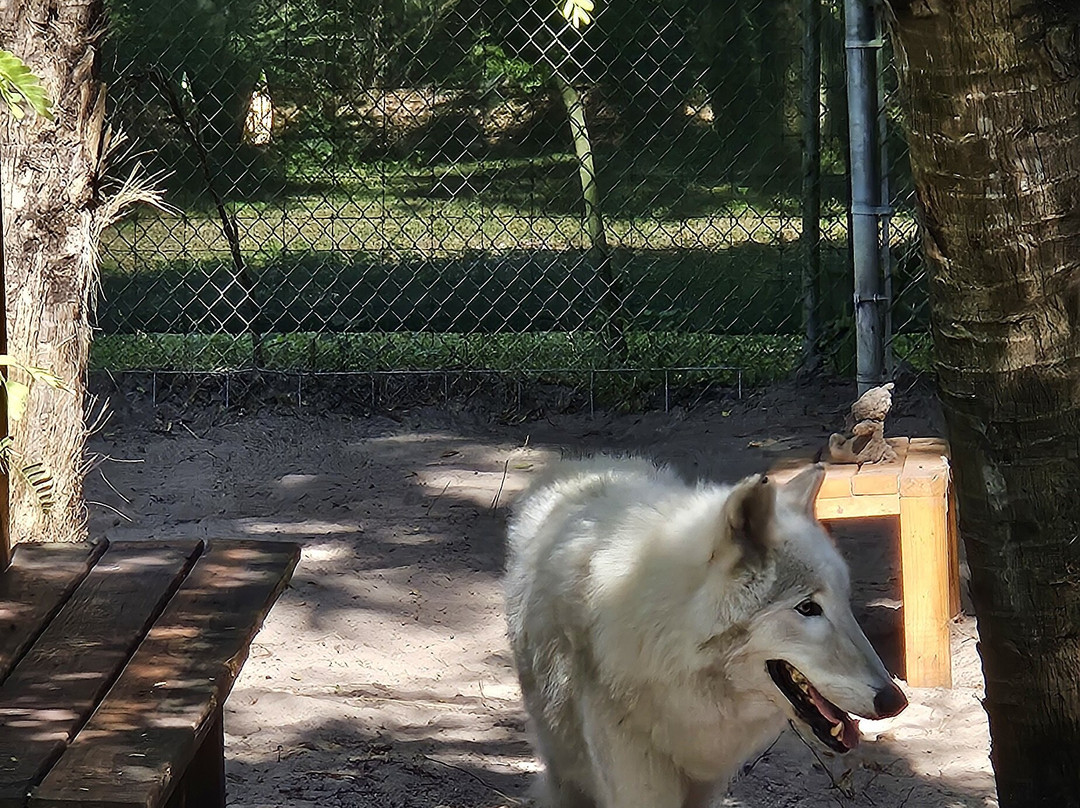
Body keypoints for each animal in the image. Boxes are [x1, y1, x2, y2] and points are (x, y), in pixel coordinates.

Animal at [504, 455, 908, 808]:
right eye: (808, 608)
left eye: (844, 600)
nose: (895, 701)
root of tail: (580, 464)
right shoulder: (638, 782)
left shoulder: (705, 782)